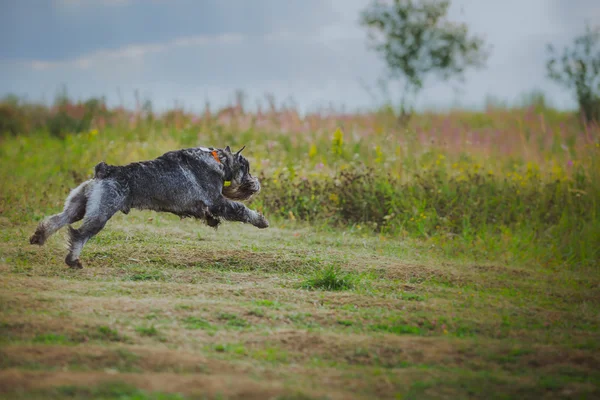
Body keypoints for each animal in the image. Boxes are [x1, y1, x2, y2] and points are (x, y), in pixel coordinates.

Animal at [29, 145, 268, 268]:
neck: (217, 160)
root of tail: (104, 171)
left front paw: (212, 222)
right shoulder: (217, 201)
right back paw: (73, 261)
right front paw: (261, 220)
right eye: (245, 168)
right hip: (100, 214)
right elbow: (239, 210)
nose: (255, 184)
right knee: (80, 234)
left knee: (57, 220)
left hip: (78, 207)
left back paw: (39, 237)